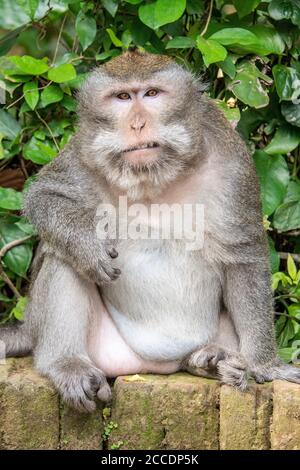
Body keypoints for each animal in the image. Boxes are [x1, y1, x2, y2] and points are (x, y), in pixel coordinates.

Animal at [1, 51, 298, 412]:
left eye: (152, 94)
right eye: (122, 97)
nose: (137, 124)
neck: (155, 177)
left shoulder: (233, 161)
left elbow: (243, 254)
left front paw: (265, 365)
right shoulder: (84, 151)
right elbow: (46, 195)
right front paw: (87, 244)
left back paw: (211, 361)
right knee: (62, 257)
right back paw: (66, 363)